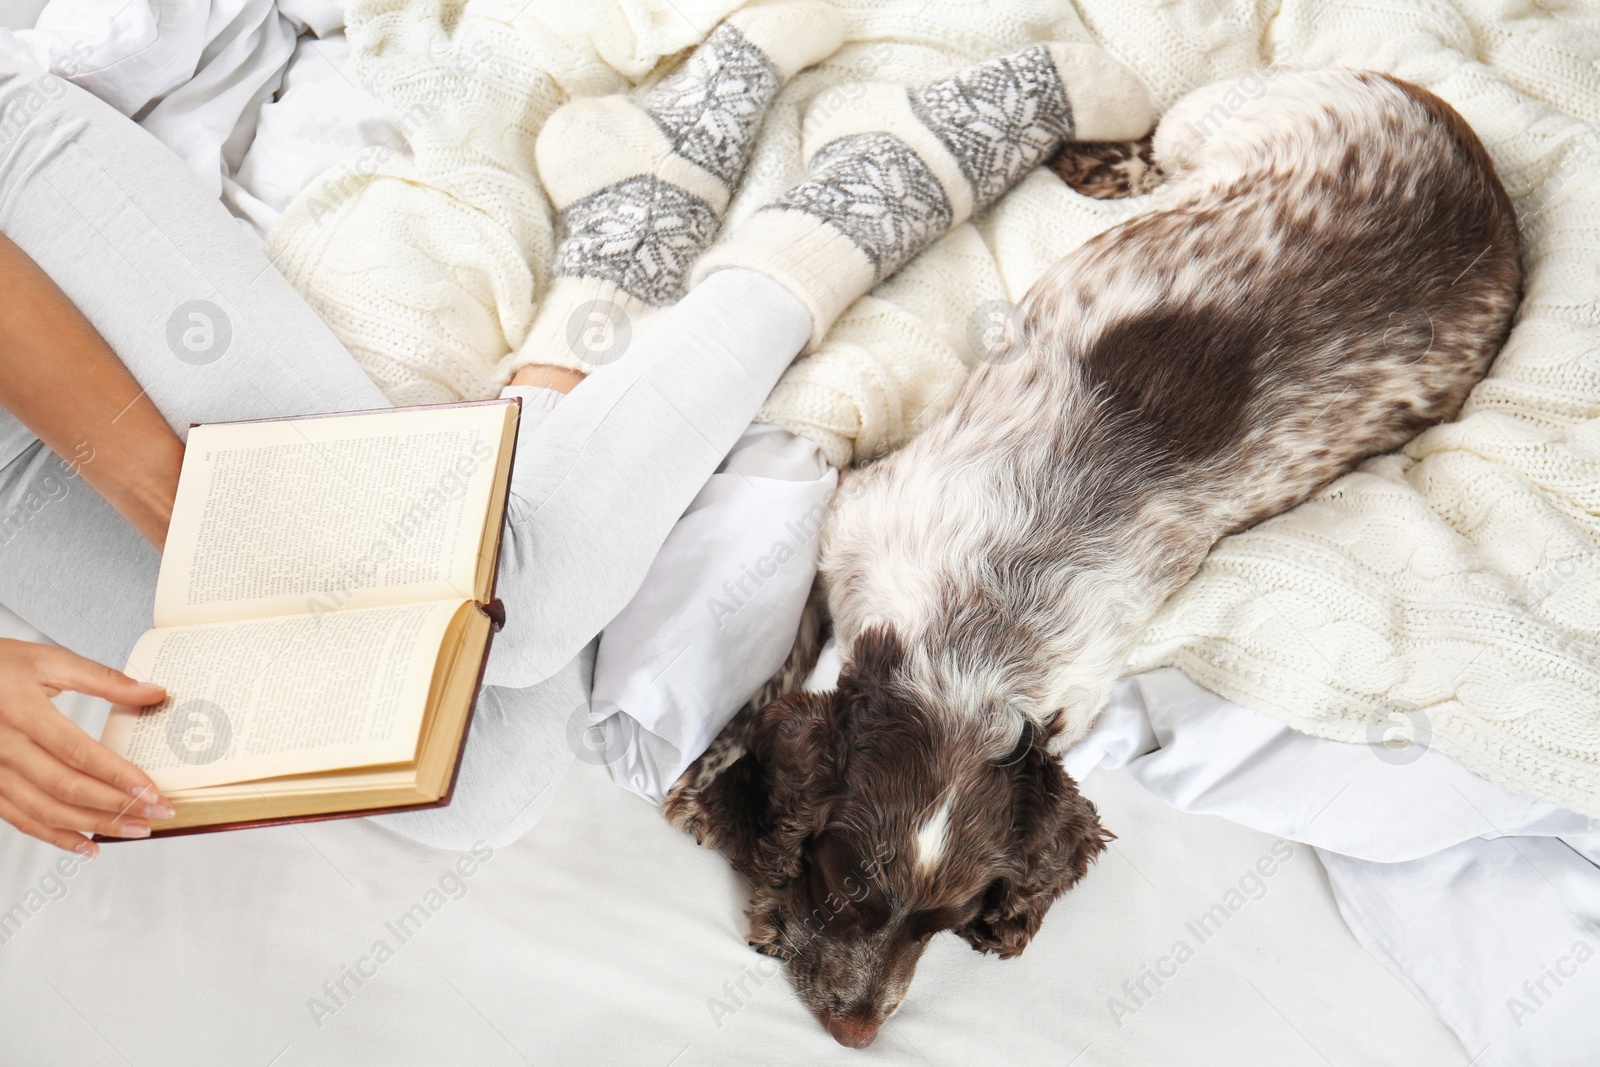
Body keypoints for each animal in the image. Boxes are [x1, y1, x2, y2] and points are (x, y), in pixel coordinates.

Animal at [668, 68, 1516, 1049]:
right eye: (846, 883)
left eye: (950, 921)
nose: (858, 1031)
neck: (976, 641)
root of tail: (1467, 153)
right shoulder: (846, 524)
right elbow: (770, 679)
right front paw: (718, 791)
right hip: (1230, 114)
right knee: (1160, 137)